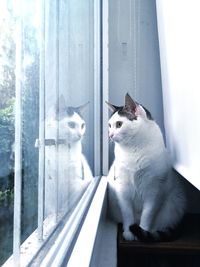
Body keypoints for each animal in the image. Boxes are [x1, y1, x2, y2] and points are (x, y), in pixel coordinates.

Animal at [106, 93, 186, 242]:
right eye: (109, 125)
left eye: (119, 124)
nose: (110, 135)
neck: (133, 149)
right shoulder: (123, 188)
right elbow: (127, 214)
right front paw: (128, 232)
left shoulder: (154, 191)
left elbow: (147, 215)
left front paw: (142, 231)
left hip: (174, 204)